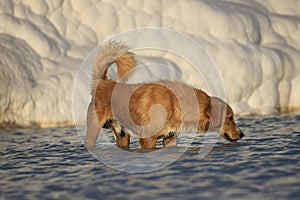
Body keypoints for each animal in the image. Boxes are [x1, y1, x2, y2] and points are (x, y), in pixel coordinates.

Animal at [84, 41, 244, 149]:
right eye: (230, 118)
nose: (242, 134)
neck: (175, 103)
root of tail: (102, 82)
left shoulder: (169, 138)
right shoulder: (148, 139)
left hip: (123, 136)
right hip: (93, 130)